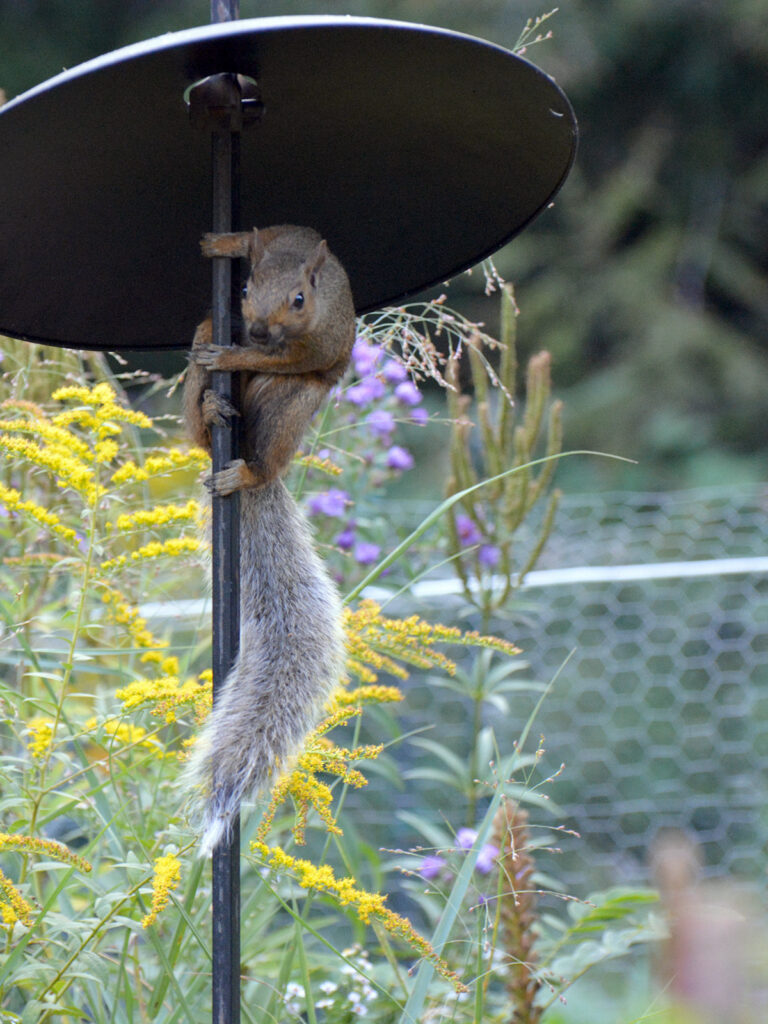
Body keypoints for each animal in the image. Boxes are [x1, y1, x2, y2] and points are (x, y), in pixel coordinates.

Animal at [183, 226, 358, 856]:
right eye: (244, 288)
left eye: (301, 300)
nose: (255, 329)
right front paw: (219, 244)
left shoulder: (310, 341)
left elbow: (289, 353)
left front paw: (239, 354)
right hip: (202, 367)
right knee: (195, 422)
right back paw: (211, 406)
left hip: (289, 410)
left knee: (268, 443)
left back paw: (246, 473)